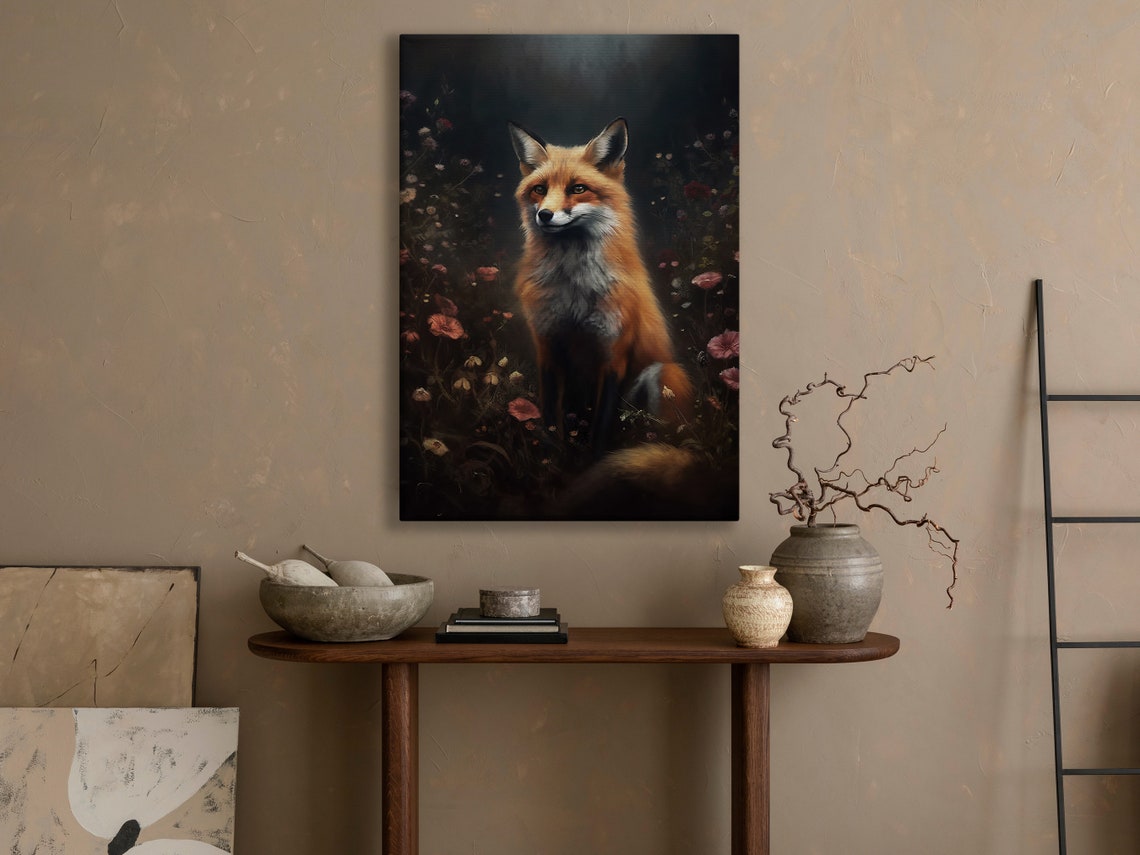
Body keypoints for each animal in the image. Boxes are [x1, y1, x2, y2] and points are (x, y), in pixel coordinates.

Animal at [508, 117, 693, 453]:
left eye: (578, 188)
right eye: (539, 189)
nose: (544, 214)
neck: (573, 290)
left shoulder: (614, 354)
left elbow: (602, 427)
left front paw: (592, 461)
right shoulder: (547, 346)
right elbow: (550, 417)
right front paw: (553, 455)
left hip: (663, 373)